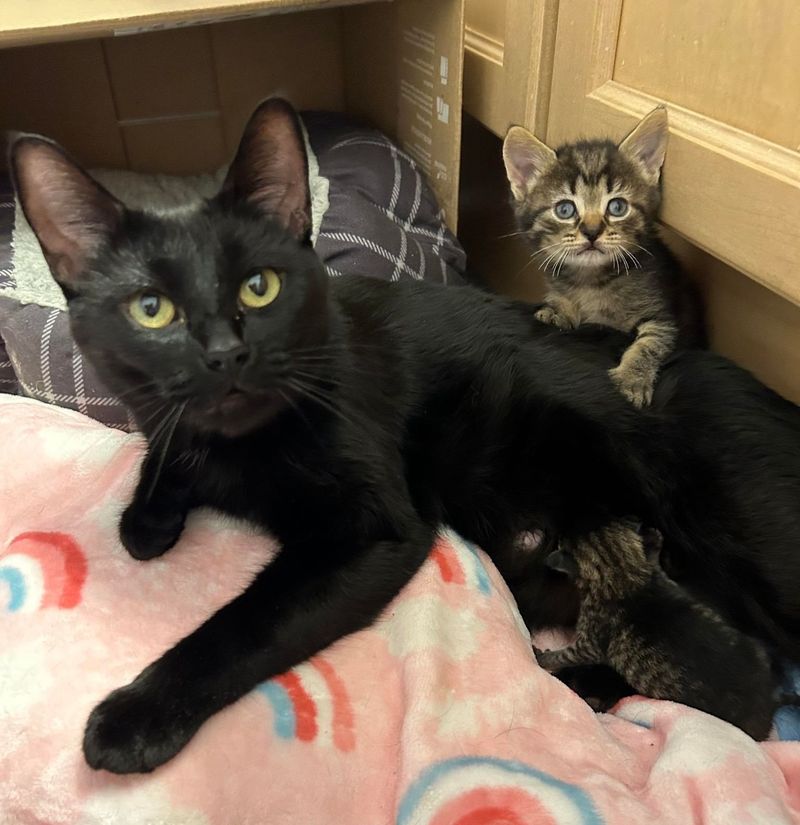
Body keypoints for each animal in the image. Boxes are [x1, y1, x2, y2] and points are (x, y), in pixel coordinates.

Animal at [504, 106, 704, 408]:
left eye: (617, 207)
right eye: (565, 209)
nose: (591, 231)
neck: (592, 281)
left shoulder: (665, 314)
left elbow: (651, 341)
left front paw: (631, 379)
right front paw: (559, 312)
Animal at [536, 520, 780, 740]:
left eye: (561, 541)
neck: (624, 575)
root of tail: (768, 709)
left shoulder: (591, 640)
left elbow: (568, 654)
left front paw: (541, 657)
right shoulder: (660, 576)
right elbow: (654, 561)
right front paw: (654, 541)